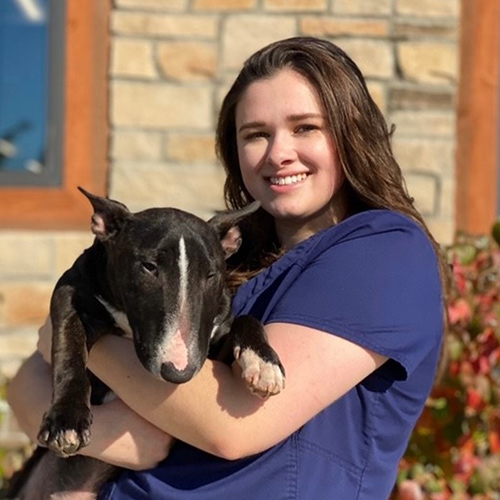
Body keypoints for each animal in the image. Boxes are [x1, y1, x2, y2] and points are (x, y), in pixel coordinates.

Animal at [5, 188, 286, 500]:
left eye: (211, 275)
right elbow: (69, 349)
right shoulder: (67, 294)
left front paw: (263, 363)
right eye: (149, 267)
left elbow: (247, 318)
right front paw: (67, 421)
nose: (179, 372)